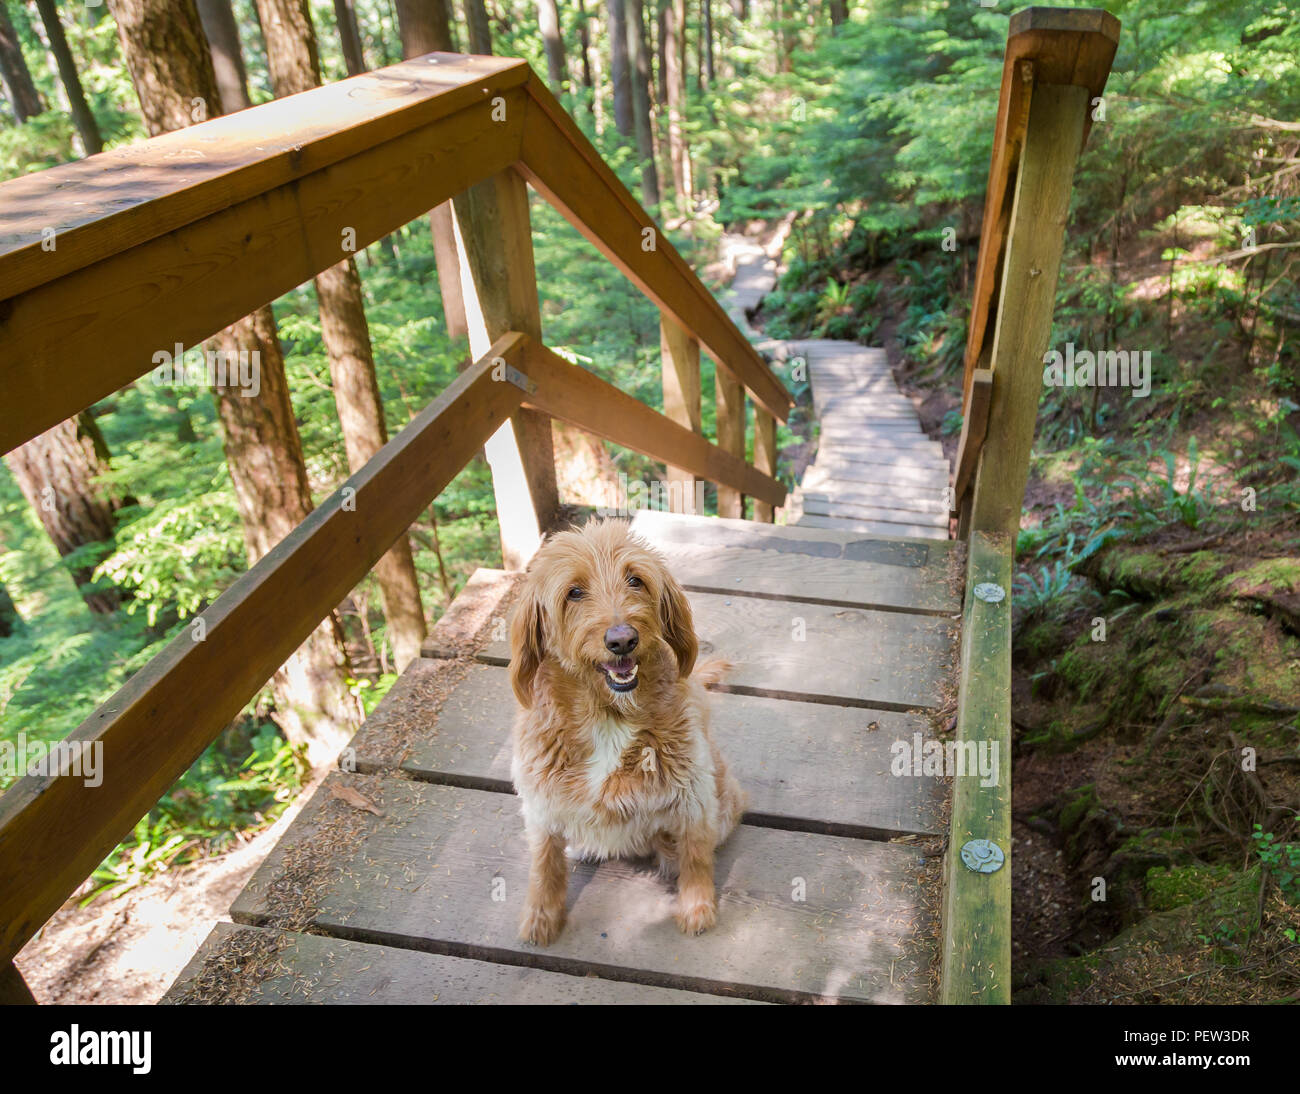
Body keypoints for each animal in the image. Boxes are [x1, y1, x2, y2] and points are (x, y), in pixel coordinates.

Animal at [509, 517, 748, 940]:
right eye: (574, 592)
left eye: (635, 580)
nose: (622, 640)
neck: (608, 714)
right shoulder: (540, 801)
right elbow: (544, 863)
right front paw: (541, 917)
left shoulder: (693, 794)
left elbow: (696, 854)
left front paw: (697, 907)